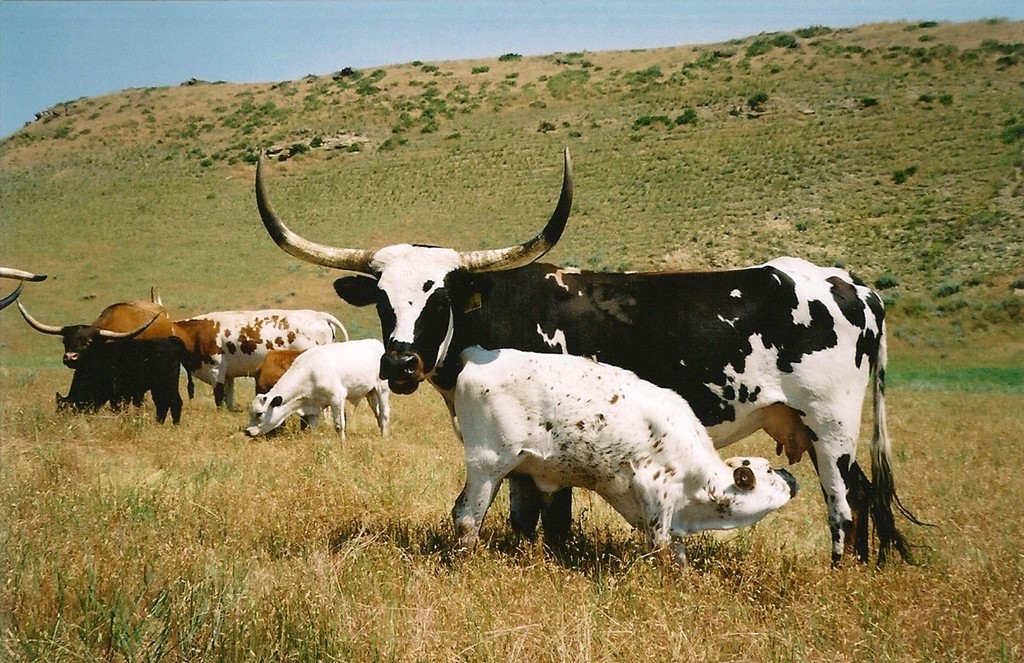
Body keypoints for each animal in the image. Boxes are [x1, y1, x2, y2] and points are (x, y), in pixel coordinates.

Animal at [56, 336, 190, 424]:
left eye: (67, 410)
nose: (61, 422)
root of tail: (169, 341)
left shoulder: (118, 394)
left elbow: (119, 409)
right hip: (158, 387)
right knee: (162, 403)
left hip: (167, 384)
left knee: (175, 402)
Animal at [244, 339, 390, 440]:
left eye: (259, 413)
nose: (247, 431)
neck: (310, 373)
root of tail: (377, 344)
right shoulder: (312, 406)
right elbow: (312, 427)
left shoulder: (337, 398)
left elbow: (339, 424)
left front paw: (342, 442)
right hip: (371, 393)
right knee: (378, 414)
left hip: (382, 389)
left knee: (384, 414)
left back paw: (384, 436)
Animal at [453, 346, 798, 567]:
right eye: (769, 472)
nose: (790, 477)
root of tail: (477, 354)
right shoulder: (655, 491)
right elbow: (660, 548)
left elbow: (678, 554)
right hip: (488, 465)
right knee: (467, 518)